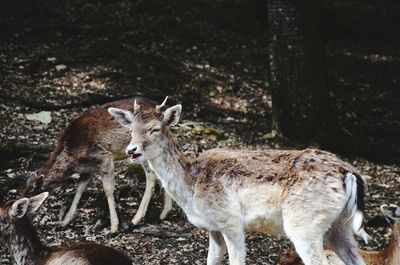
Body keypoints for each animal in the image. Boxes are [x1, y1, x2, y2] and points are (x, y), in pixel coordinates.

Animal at [18, 96, 172, 231]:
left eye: (29, 202)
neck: (73, 157)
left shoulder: (104, 156)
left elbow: (108, 189)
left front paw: (114, 227)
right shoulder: (88, 169)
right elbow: (79, 189)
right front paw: (64, 221)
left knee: (152, 175)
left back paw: (136, 218)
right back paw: (164, 213)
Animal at [108, 97, 372, 264]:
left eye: (155, 129)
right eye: (130, 129)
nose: (132, 150)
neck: (191, 187)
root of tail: (349, 173)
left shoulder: (231, 221)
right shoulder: (212, 228)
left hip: (304, 224)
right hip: (340, 226)